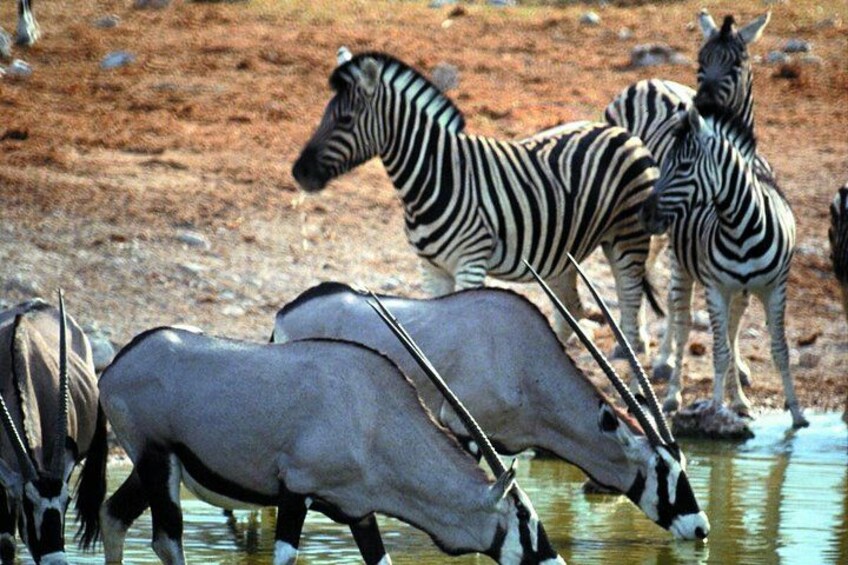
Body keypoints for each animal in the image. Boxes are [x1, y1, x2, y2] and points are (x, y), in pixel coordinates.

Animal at [293, 49, 661, 353]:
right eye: (325, 115)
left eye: (345, 119)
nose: (299, 172)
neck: (435, 177)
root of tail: (622, 131)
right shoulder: (431, 269)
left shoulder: (470, 262)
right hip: (563, 254)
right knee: (570, 312)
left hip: (628, 238)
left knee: (630, 315)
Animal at [605, 9, 773, 384]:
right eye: (700, 59)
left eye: (737, 63)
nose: (702, 105)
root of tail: (647, 80)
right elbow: (680, 300)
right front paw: (666, 361)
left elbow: (736, 309)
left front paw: (739, 367)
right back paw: (633, 342)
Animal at [640, 105, 808, 429]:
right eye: (664, 165)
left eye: (684, 167)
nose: (646, 214)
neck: (741, 227)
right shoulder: (715, 287)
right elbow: (718, 352)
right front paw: (715, 409)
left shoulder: (775, 288)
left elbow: (779, 350)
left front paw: (796, 413)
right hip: (682, 269)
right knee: (683, 327)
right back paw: (673, 396)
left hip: (741, 293)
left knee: (732, 331)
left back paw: (739, 399)